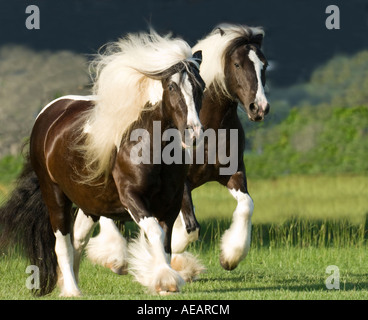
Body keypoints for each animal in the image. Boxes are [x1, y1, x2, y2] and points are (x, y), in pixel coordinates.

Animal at [0, 30, 204, 296]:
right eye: (171, 86)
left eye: (201, 87)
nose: (194, 134)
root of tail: (49, 114)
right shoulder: (132, 198)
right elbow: (155, 233)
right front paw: (166, 280)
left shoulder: (170, 204)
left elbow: (166, 242)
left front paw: (163, 283)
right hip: (55, 196)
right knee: (63, 244)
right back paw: (72, 291)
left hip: (89, 204)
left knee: (77, 241)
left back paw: (71, 283)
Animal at [84, 23, 270, 276]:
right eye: (237, 64)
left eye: (264, 64)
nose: (259, 108)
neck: (210, 127)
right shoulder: (182, 184)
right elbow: (190, 228)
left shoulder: (232, 173)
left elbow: (246, 206)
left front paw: (230, 257)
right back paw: (114, 257)